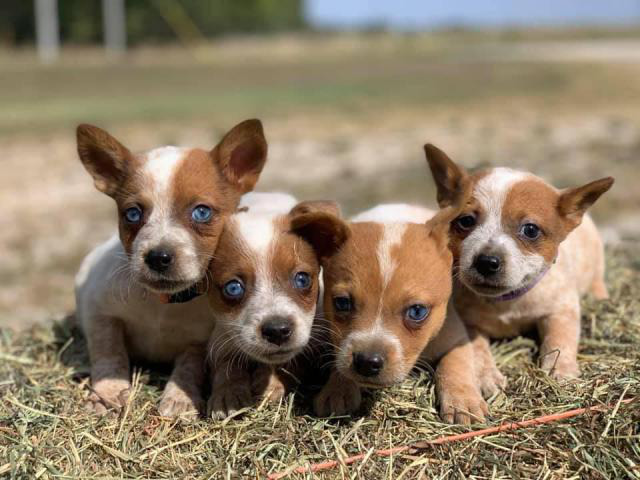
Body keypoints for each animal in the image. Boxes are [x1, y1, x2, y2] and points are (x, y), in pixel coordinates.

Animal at [74, 117, 268, 416]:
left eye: (201, 212)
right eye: (133, 214)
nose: (158, 257)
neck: (163, 304)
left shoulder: (200, 343)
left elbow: (188, 367)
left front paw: (179, 399)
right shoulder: (98, 310)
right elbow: (109, 352)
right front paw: (108, 393)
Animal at [206, 195, 348, 416]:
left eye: (302, 279)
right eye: (233, 288)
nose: (277, 331)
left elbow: (292, 362)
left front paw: (272, 383)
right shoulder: (221, 340)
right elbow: (226, 367)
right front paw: (227, 394)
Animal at [302, 199, 490, 424]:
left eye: (417, 311)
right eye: (342, 303)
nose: (367, 362)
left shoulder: (455, 337)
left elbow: (456, 363)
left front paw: (462, 400)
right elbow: (340, 358)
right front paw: (337, 390)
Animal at [424, 143, 616, 394]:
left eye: (530, 230)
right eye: (465, 221)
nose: (486, 261)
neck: (508, 302)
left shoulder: (562, 309)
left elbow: (560, 340)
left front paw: (561, 371)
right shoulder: (468, 322)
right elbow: (478, 349)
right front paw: (486, 376)